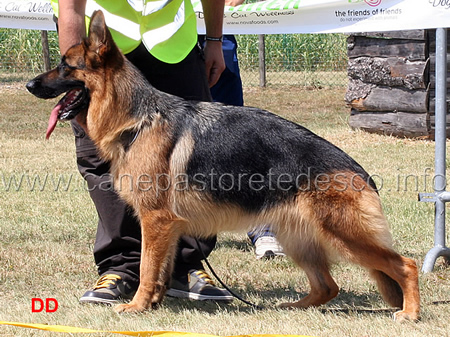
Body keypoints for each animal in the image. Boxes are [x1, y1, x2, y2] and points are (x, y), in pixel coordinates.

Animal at [25, 10, 418, 320]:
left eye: (65, 65)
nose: (29, 84)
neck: (137, 120)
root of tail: (358, 171)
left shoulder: (155, 220)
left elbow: (148, 267)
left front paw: (137, 306)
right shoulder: (168, 226)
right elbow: (161, 269)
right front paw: (153, 303)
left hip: (343, 234)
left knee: (404, 265)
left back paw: (410, 312)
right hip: (298, 237)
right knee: (328, 286)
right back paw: (291, 307)